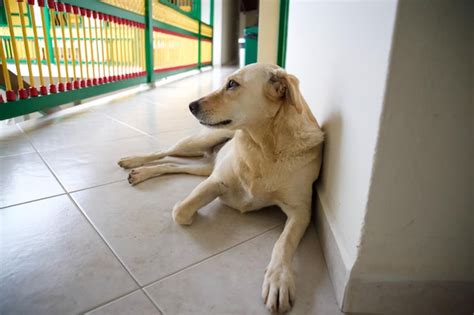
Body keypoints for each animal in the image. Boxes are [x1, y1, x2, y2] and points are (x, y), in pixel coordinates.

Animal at [117, 63, 324, 314]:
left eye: (232, 84)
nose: (191, 105)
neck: (265, 146)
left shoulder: (301, 212)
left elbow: (283, 244)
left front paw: (278, 279)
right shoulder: (216, 180)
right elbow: (181, 211)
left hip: (202, 167)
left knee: (171, 164)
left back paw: (141, 173)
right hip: (196, 143)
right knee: (163, 152)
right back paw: (133, 162)